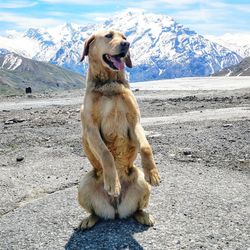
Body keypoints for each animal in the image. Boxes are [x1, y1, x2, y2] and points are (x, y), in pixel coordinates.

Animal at [77, 30, 160, 229]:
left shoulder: (134, 123)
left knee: (136, 209)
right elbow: (106, 154)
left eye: (124, 37)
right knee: (95, 212)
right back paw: (89, 219)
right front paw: (113, 183)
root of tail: (115, 210)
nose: (127, 44)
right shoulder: (91, 129)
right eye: (108, 36)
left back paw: (143, 215)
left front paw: (153, 172)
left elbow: (146, 147)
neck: (109, 85)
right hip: (83, 184)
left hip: (140, 181)